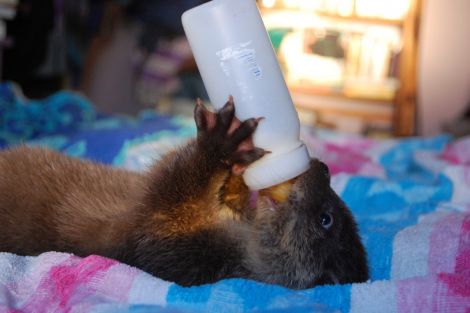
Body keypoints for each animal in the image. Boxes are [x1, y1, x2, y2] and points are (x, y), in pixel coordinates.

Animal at [0, 97, 370, 288]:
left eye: (325, 219)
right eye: (333, 209)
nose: (324, 168)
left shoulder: (170, 251)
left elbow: (170, 190)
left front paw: (217, 145)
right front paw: (236, 171)